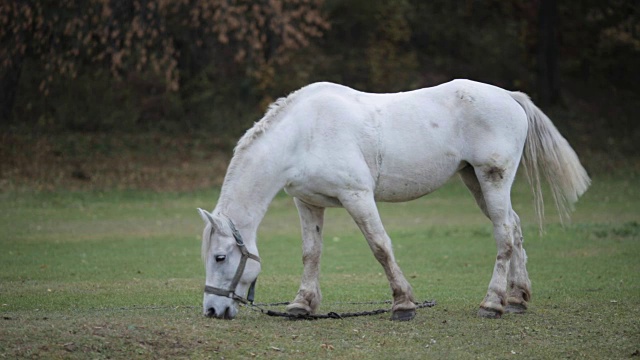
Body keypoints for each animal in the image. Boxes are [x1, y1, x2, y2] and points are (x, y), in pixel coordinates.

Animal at [196, 79, 592, 320]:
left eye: (220, 257)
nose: (212, 310)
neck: (304, 134)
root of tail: (509, 96)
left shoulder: (357, 196)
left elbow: (380, 246)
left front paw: (403, 303)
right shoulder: (308, 203)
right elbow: (311, 253)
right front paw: (301, 304)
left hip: (492, 179)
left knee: (505, 236)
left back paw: (492, 302)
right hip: (476, 181)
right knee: (515, 227)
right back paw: (517, 298)